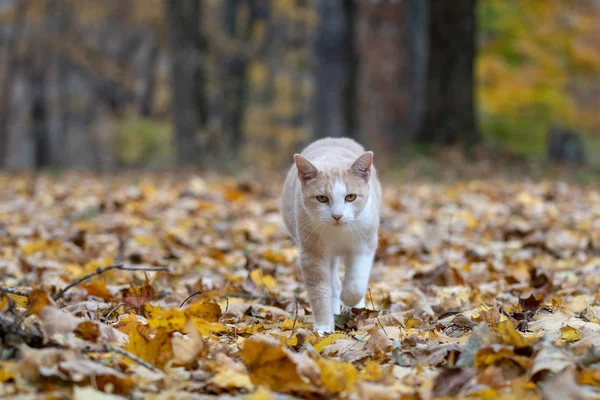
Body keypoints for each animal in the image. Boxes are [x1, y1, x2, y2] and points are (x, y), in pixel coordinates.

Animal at [280, 138, 380, 334]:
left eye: (350, 197)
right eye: (322, 198)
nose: (337, 215)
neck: (338, 233)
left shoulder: (364, 246)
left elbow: (356, 285)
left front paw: (350, 301)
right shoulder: (312, 255)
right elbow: (320, 291)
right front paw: (324, 328)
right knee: (334, 283)